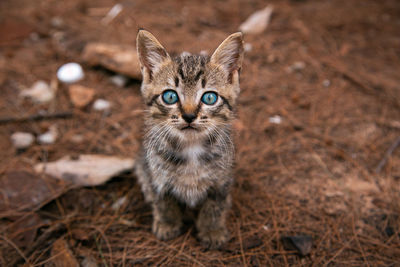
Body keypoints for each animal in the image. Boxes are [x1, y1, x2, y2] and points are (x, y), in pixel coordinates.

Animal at [134, 30, 244, 250]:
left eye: (209, 98)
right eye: (170, 96)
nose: (189, 116)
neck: (191, 147)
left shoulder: (222, 180)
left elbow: (215, 205)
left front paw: (212, 230)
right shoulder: (156, 175)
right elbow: (163, 200)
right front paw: (167, 223)